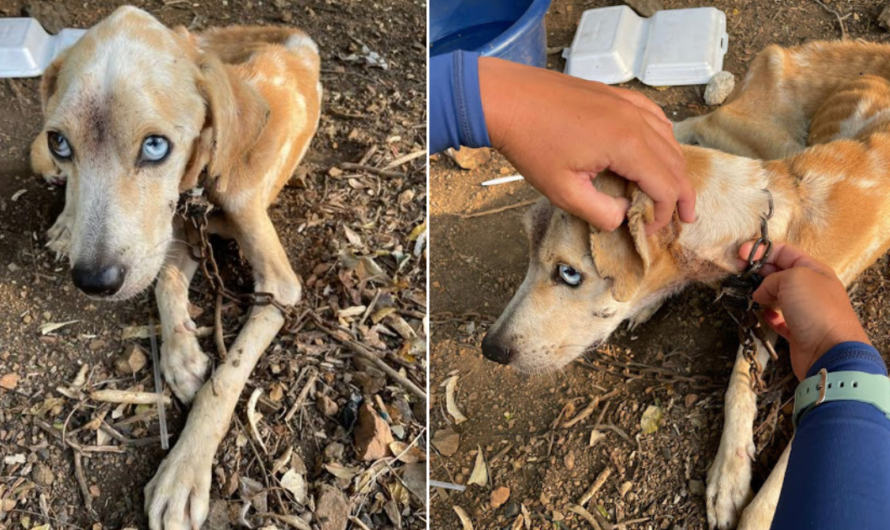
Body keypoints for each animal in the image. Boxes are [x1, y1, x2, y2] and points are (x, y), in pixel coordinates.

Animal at [32, 5, 322, 528]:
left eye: (155, 147)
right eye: (61, 142)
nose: (94, 282)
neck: (204, 179)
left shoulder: (279, 286)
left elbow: (225, 379)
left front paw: (183, 472)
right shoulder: (172, 235)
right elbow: (165, 282)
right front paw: (182, 357)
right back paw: (65, 224)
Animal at [486, 42, 890, 528]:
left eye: (569, 273)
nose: (490, 349)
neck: (764, 216)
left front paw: (751, 506)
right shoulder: (756, 312)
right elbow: (738, 384)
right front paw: (728, 477)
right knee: (696, 124)